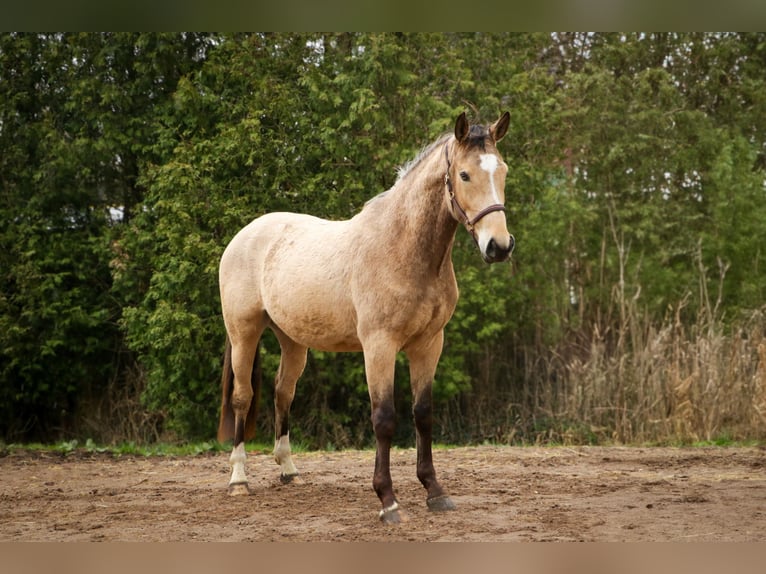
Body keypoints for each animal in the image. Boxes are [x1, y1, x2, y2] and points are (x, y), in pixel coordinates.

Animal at [217, 111, 515, 524]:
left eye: (502, 171)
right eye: (465, 175)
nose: (498, 247)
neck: (404, 248)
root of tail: (243, 235)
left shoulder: (429, 344)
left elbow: (423, 414)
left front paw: (435, 491)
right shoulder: (379, 346)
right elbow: (384, 418)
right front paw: (387, 500)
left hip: (292, 340)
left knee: (283, 393)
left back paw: (289, 471)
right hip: (243, 333)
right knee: (242, 398)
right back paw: (238, 479)